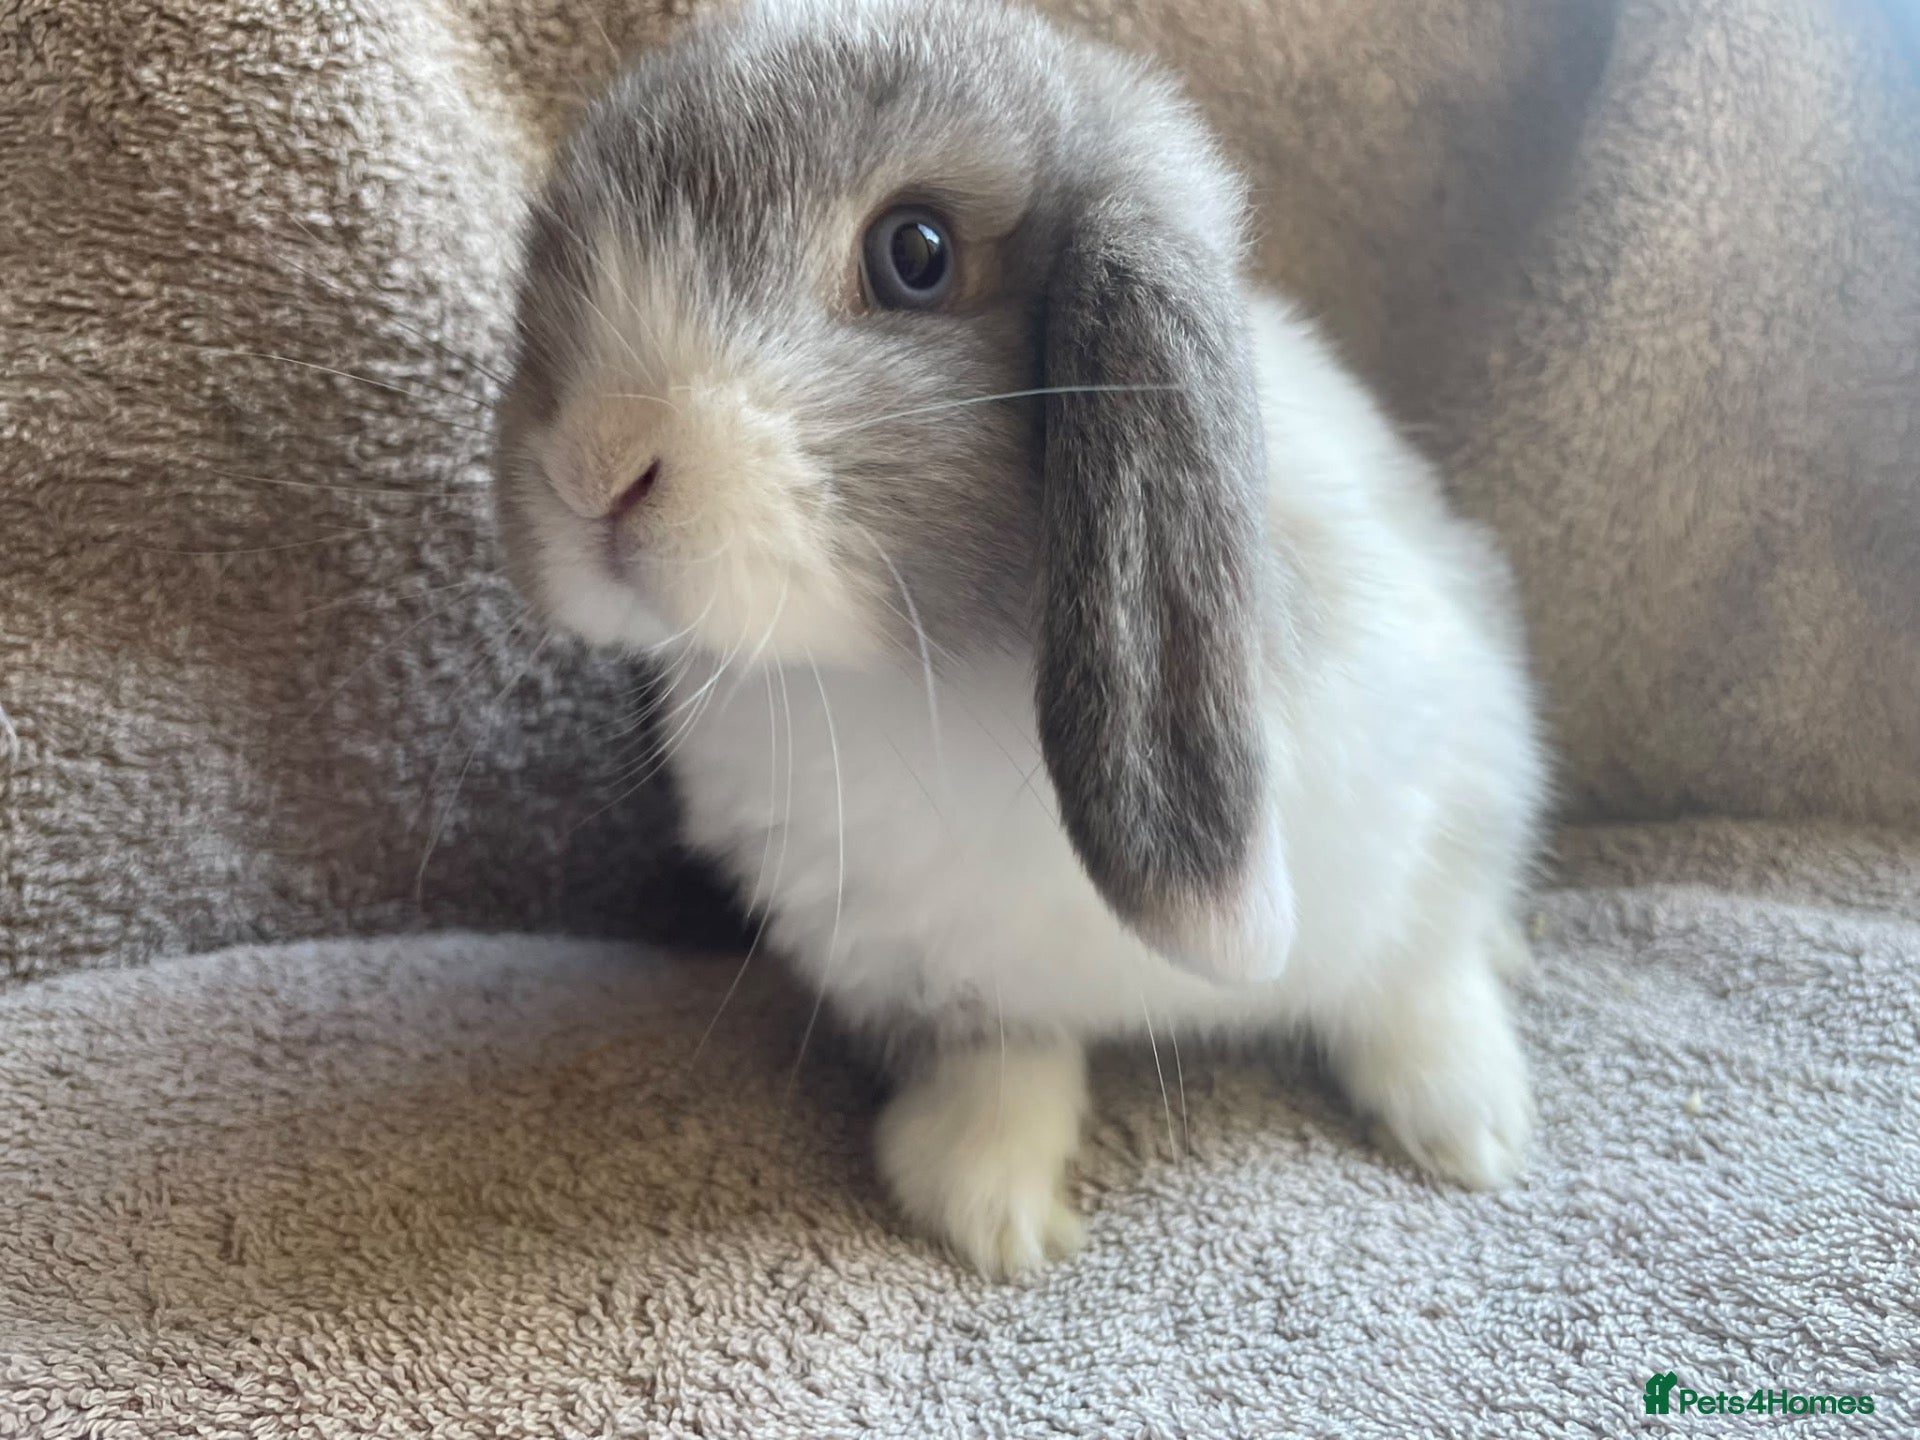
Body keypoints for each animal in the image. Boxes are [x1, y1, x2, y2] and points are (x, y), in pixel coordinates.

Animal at [493, 0, 1549, 1278]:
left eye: (916, 254)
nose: (593, 463)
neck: (934, 674)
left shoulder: (1441, 795)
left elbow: (1416, 985)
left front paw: (1472, 1129)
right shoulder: (953, 983)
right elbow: (1008, 1067)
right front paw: (988, 1214)